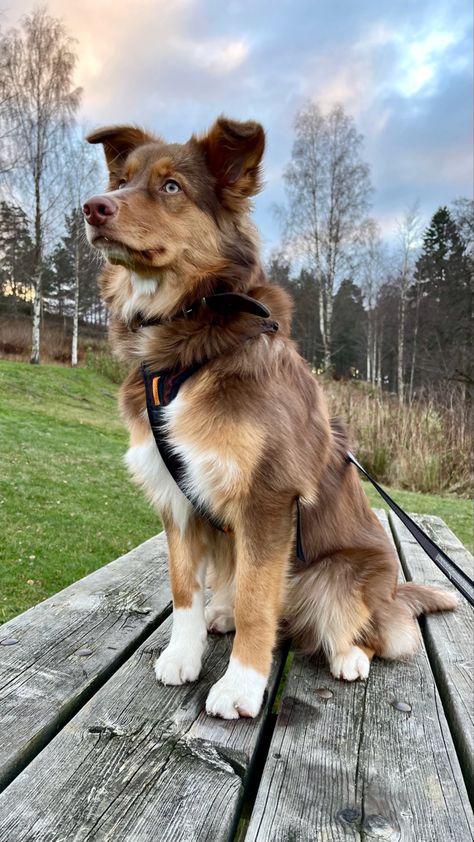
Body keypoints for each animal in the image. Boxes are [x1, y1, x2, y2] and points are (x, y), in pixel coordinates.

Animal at [82, 118, 456, 720]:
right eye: (121, 180)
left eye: (170, 187)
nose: (93, 207)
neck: (188, 339)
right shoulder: (175, 495)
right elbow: (184, 589)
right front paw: (183, 654)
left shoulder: (270, 498)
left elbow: (258, 603)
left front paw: (240, 685)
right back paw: (221, 614)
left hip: (342, 574)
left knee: (373, 630)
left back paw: (350, 656)